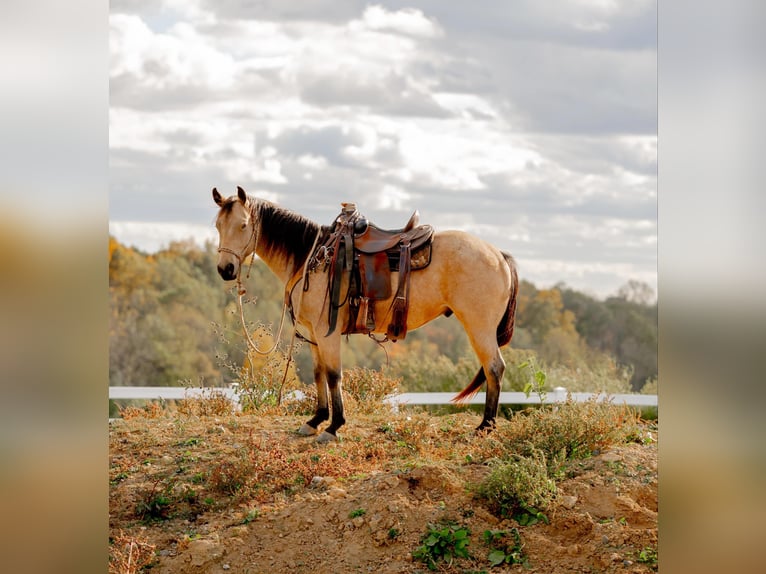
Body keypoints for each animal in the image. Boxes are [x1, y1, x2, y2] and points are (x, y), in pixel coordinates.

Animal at [213, 187, 520, 444]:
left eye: (243, 225)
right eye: (217, 225)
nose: (225, 269)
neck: (312, 258)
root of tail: (499, 255)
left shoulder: (327, 333)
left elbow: (334, 375)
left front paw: (334, 426)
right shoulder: (313, 335)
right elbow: (318, 373)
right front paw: (315, 420)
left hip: (479, 327)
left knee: (494, 368)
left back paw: (486, 426)